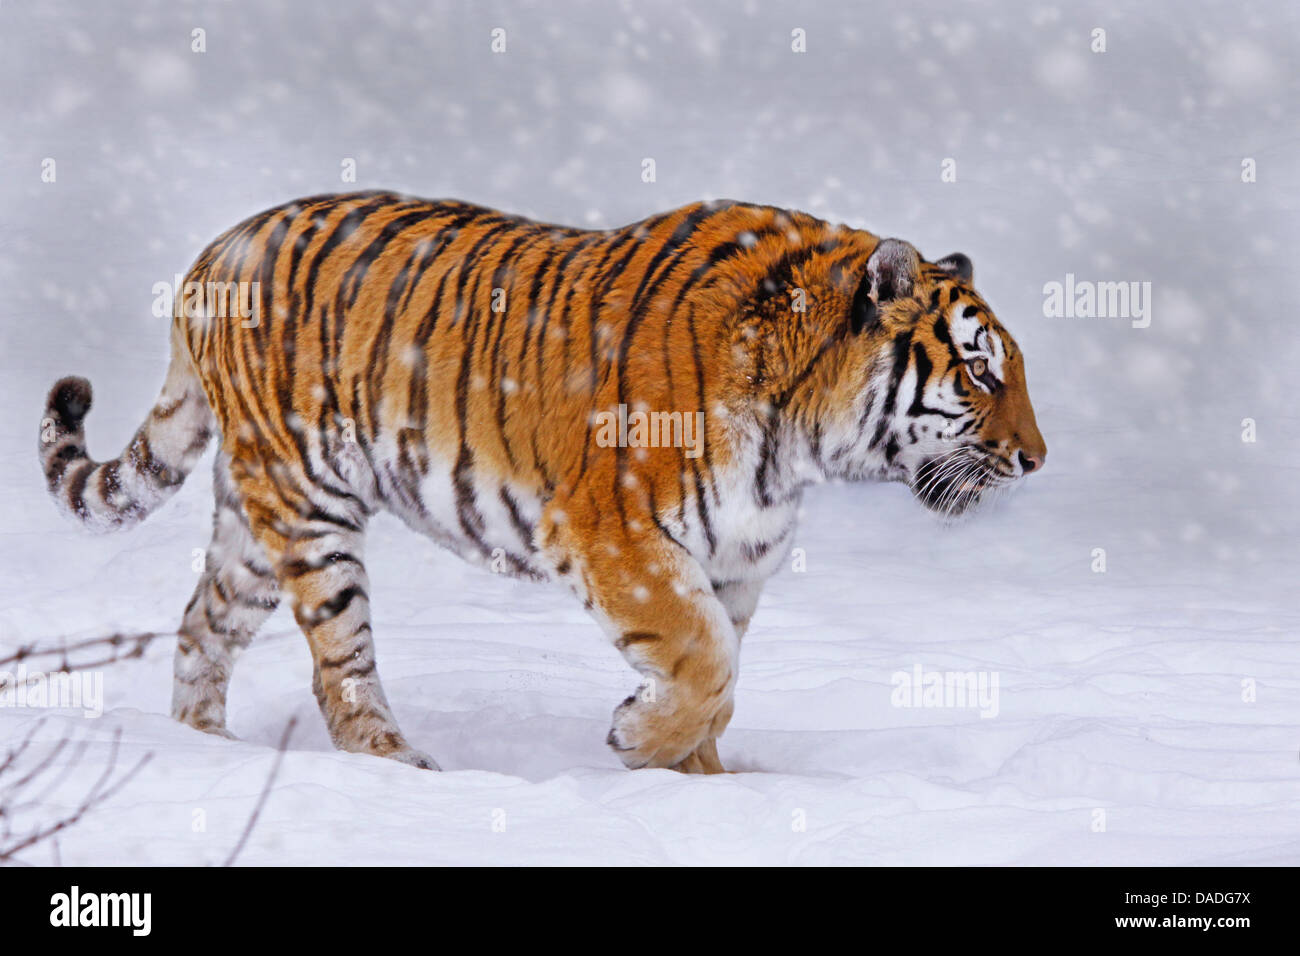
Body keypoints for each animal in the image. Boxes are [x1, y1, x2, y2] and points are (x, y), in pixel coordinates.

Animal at [35, 191, 1040, 775]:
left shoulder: (735, 561)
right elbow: (706, 664)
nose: (1038, 458)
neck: (798, 444)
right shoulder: (620, 534)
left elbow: (721, 684)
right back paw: (396, 766)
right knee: (340, 667)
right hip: (308, 507)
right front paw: (637, 741)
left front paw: (700, 786)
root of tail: (216, 251)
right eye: (982, 373)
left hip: (253, 520)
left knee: (201, 628)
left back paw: (205, 748)